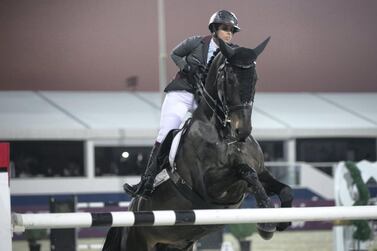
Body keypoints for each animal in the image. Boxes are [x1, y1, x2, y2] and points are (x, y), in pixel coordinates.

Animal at [103, 38, 294, 250]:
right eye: (229, 79)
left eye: (255, 79)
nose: (243, 131)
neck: (225, 135)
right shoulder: (210, 188)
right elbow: (245, 171)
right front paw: (266, 222)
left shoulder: (260, 173)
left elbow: (282, 188)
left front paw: (283, 219)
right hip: (136, 242)